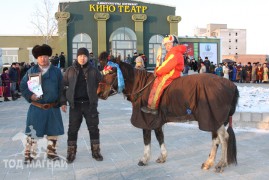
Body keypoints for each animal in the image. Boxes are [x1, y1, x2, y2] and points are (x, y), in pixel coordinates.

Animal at [97, 62, 238, 173]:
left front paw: (144, 159)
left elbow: (146, 139)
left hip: (214, 118)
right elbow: (160, 137)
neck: (143, 87)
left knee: (224, 138)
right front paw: (163, 156)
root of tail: (232, 85)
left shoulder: (146, 120)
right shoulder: (156, 120)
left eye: (111, 73)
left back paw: (221, 164)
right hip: (213, 119)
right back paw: (208, 162)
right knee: (216, 139)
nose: (98, 92)